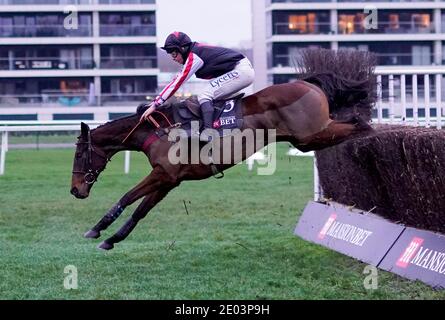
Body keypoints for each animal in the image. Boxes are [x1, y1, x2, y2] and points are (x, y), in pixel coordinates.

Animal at [71, 49, 376, 250]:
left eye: (80, 155)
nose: (75, 190)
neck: (157, 130)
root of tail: (306, 82)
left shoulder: (162, 174)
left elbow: (126, 197)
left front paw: (97, 229)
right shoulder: (169, 180)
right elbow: (140, 211)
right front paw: (111, 239)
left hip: (310, 134)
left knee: (357, 123)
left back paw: (371, 136)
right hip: (307, 139)